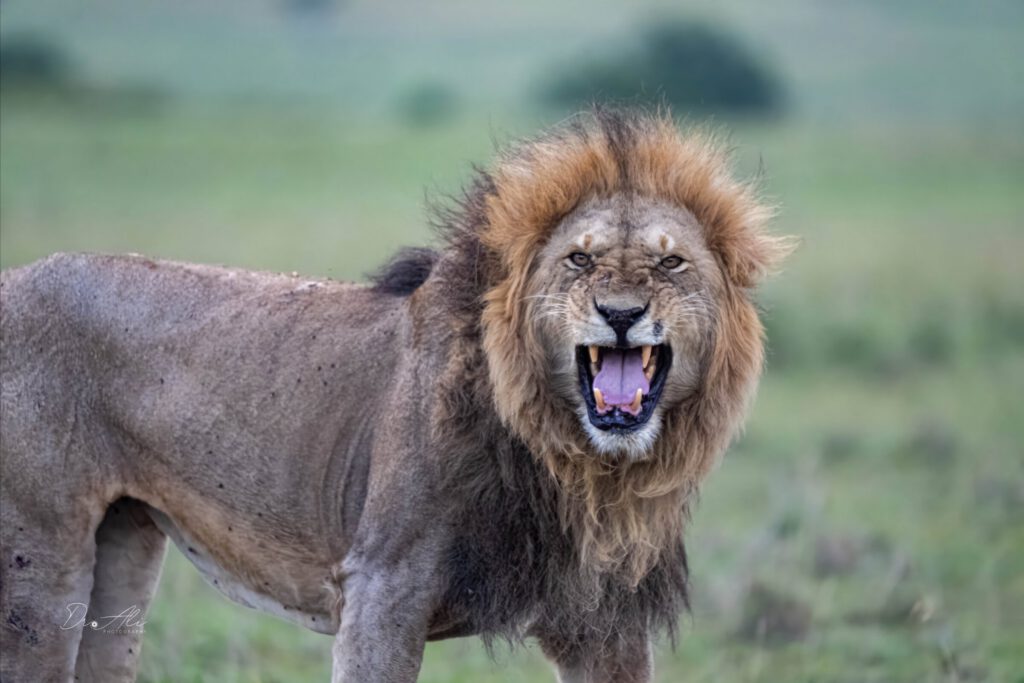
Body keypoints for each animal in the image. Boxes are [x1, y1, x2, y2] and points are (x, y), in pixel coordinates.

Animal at [0, 109, 791, 682]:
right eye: (579, 259)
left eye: (670, 263)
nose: (620, 313)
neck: (576, 464)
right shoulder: (381, 590)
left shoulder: (606, 624)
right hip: (37, 569)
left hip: (123, 551)